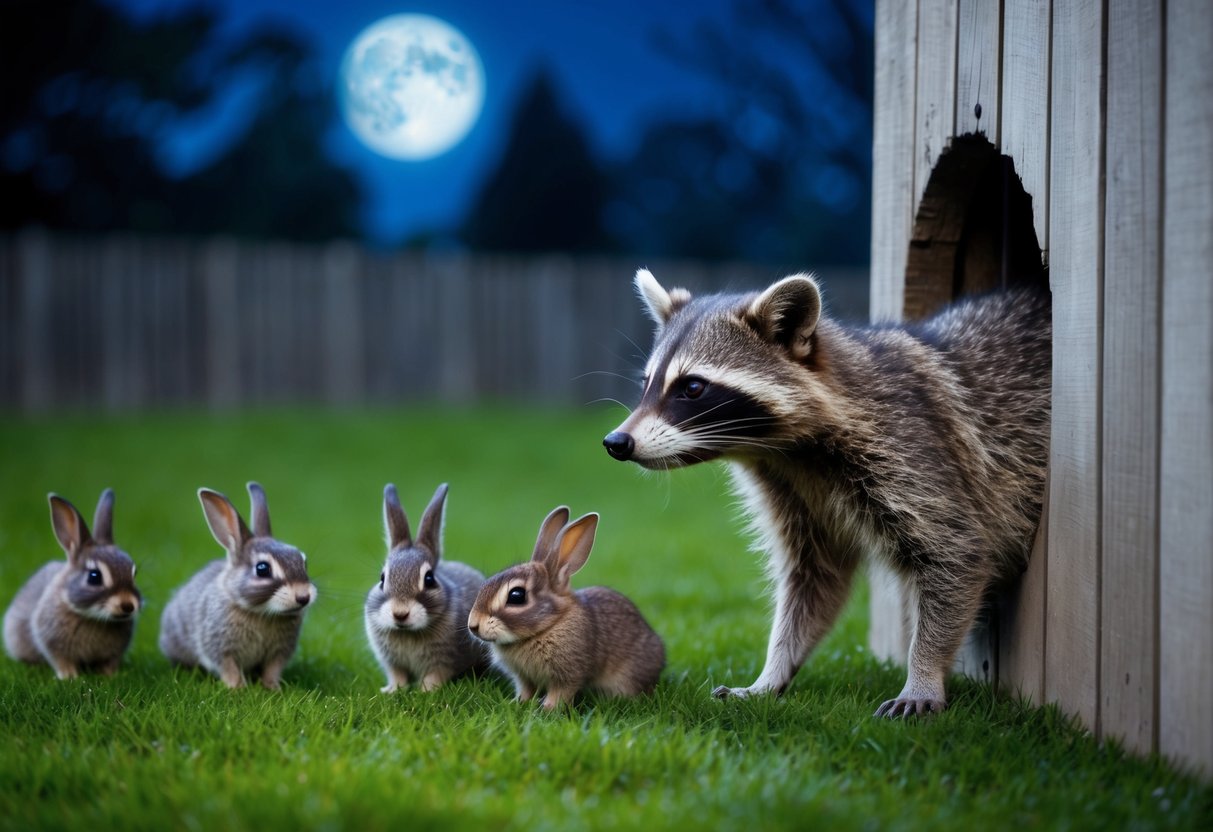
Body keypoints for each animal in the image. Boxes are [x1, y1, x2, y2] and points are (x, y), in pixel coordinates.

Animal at [604, 269, 1051, 717]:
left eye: (693, 387)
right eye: (647, 383)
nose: (616, 442)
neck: (783, 452)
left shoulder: (913, 449)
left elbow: (956, 553)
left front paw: (924, 672)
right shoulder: (792, 492)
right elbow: (814, 577)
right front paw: (773, 671)